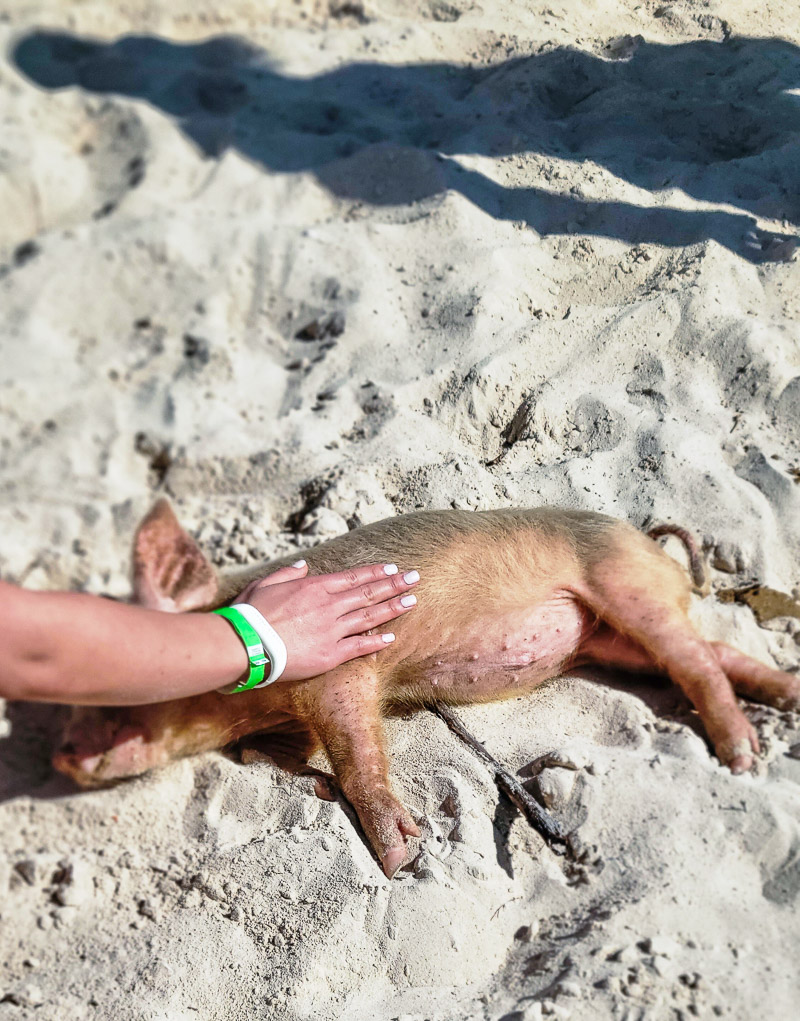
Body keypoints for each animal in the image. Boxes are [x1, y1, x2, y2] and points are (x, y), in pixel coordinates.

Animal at [56, 498, 800, 873]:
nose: (60, 752)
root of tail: (648, 539)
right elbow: (274, 756)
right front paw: (312, 787)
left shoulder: (343, 669)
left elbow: (357, 750)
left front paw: (402, 857)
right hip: (611, 640)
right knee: (708, 653)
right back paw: (785, 698)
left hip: (622, 584)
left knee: (697, 660)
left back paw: (742, 756)